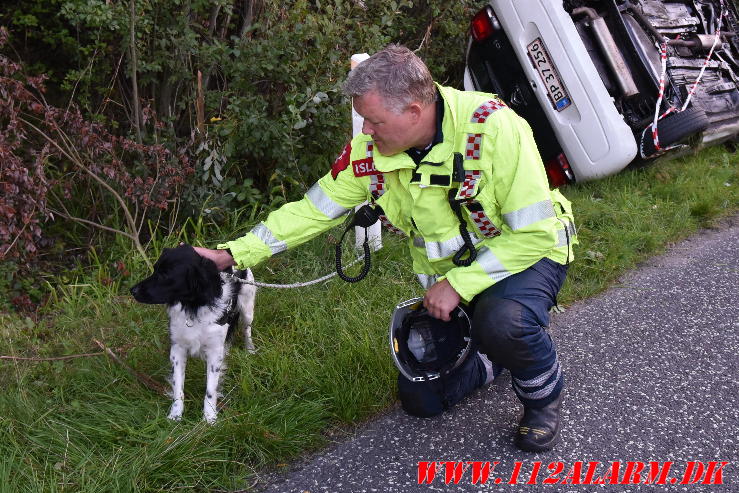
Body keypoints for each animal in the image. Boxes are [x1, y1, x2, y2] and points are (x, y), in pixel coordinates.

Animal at [128, 244, 254, 420]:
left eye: (165, 274)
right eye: (154, 269)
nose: (132, 290)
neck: (193, 307)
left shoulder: (214, 352)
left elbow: (210, 390)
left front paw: (209, 418)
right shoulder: (178, 349)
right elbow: (178, 388)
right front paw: (175, 415)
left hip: (247, 309)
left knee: (247, 329)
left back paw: (250, 350)